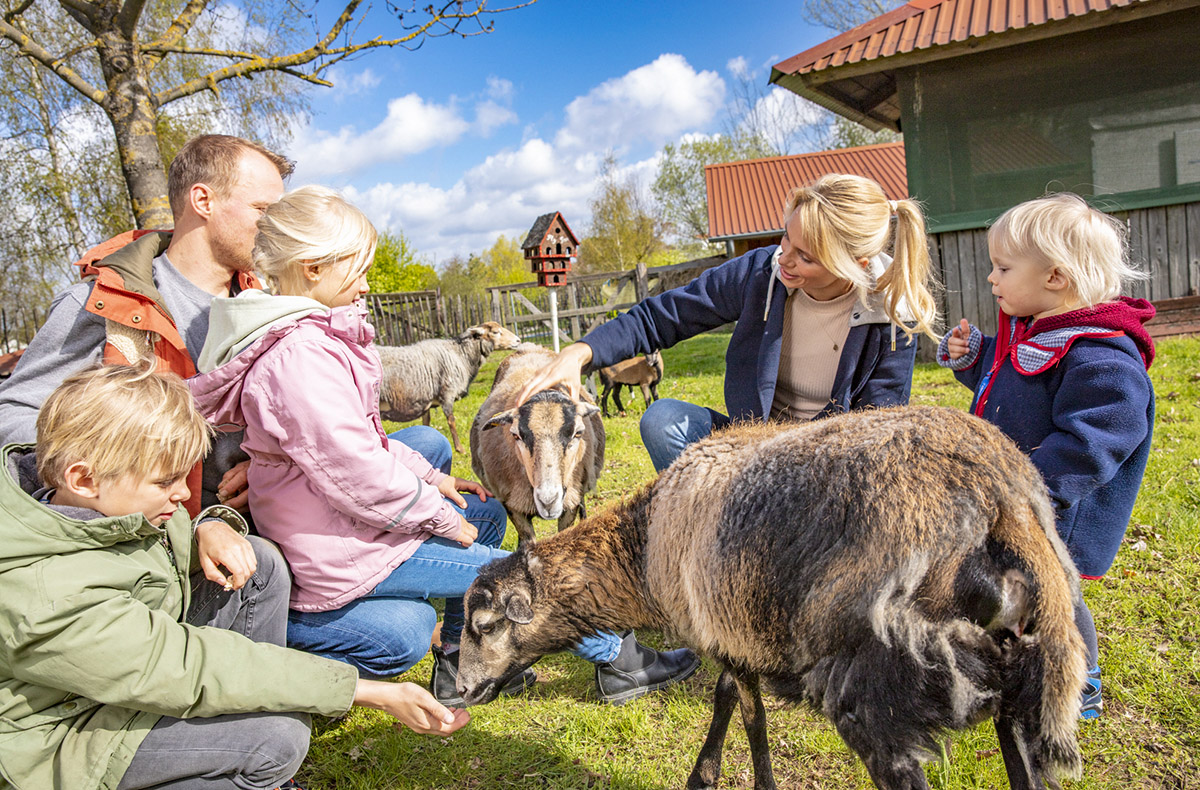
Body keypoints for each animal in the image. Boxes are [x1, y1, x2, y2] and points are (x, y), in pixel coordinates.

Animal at [376, 319, 518, 451]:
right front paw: (460, 449)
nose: (518, 340)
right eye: (495, 332)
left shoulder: (426, 399)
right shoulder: (447, 392)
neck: (461, 354)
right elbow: (451, 420)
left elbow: (426, 422)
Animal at [465, 348, 600, 545]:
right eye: (515, 435)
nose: (548, 501)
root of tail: (529, 348)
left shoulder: (570, 503)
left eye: (578, 433)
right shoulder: (511, 504)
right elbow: (528, 541)